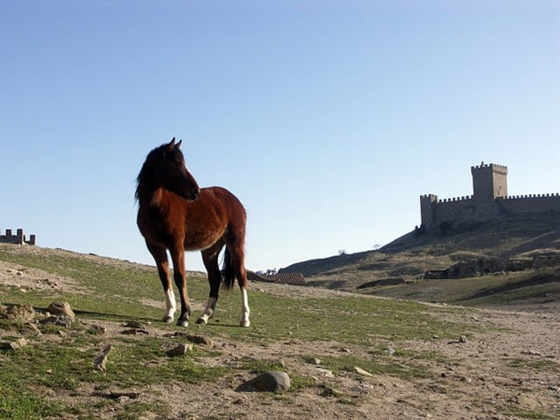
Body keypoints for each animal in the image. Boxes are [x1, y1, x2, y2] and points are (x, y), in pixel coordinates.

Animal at [136, 138, 249, 328]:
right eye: (176, 163)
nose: (195, 191)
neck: (157, 206)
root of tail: (234, 201)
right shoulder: (155, 246)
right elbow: (165, 277)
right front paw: (169, 313)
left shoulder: (176, 246)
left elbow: (180, 277)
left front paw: (184, 316)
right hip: (210, 250)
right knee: (215, 278)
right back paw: (204, 316)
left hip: (235, 243)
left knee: (242, 276)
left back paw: (245, 318)